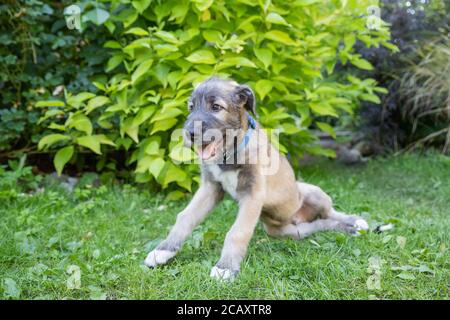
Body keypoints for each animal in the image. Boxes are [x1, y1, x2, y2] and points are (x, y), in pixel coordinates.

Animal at [145, 77, 370, 280]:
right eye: (191, 108)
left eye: (216, 106)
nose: (189, 133)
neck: (229, 154)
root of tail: (298, 218)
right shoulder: (211, 188)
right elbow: (185, 216)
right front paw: (163, 250)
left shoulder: (253, 194)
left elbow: (237, 232)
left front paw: (226, 267)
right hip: (287, 231)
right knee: (319, 224)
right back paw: (345, 228)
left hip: (312, 192)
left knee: (331, 212)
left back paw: (354, 222)